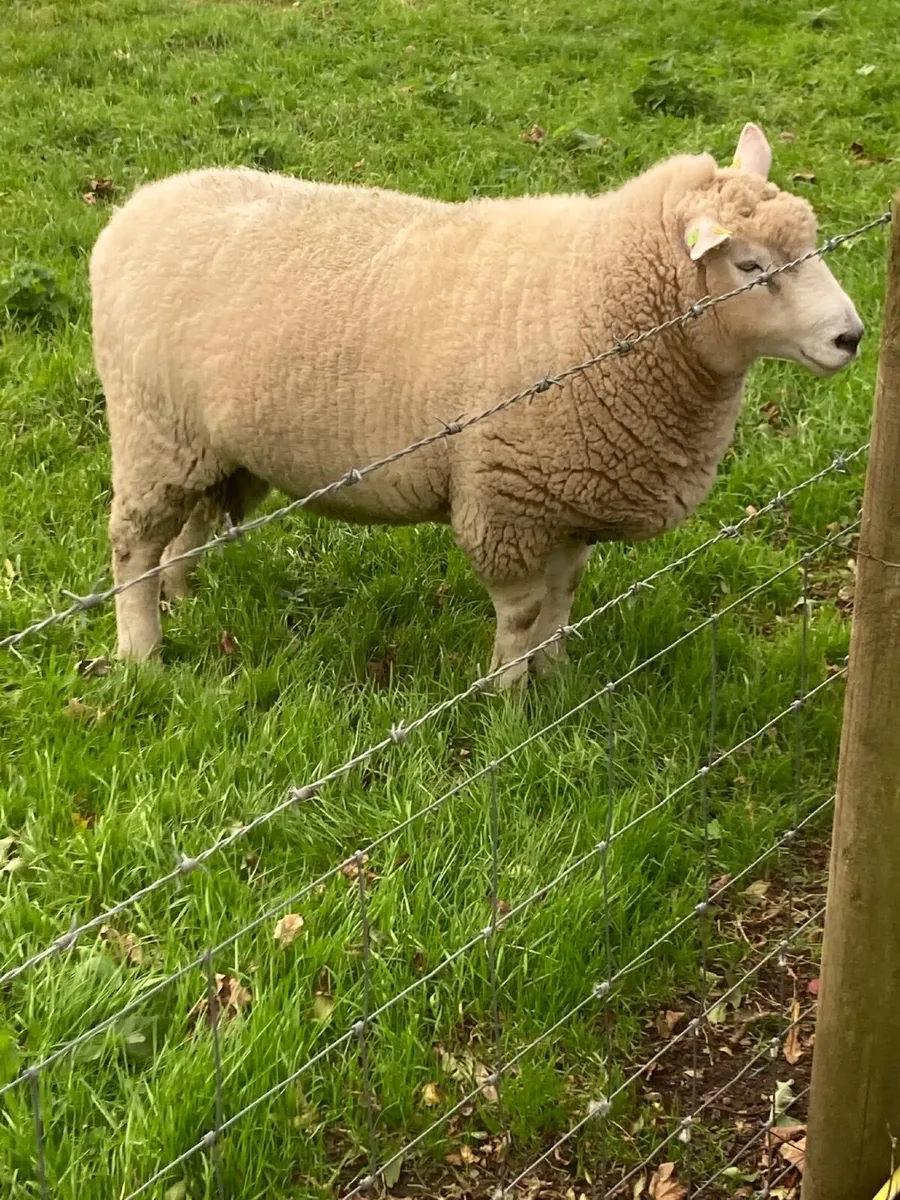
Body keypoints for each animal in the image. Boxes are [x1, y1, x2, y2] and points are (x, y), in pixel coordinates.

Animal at [90, 122, 864, 686]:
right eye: (750, 266)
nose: (851, 337)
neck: (597, 299)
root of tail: (136, 207)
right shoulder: (505, 498)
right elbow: (523, 614)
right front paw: (508, 698)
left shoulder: (566, 495)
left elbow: (563, 599)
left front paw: (556, 678)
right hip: (151, 426)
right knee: (133, 543)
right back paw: (142, 653)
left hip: (210, 444)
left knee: (190, 524)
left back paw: (185, 597)